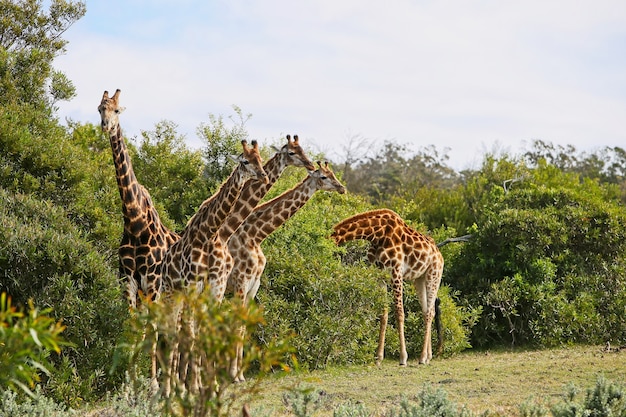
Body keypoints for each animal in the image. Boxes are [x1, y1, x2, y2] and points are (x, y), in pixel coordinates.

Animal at [97, 89, 179, 308]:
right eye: (100, 109)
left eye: (117, 110)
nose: (106, 125)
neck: (134, 223)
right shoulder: (128, 280)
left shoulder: (153, 281)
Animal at [225, 160, 346, 380]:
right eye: (323, 177)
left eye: (333, 174)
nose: (342, 188)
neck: (254, 235)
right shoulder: (240, 283)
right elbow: (237, 327)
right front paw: (233, 375)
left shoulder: (253, 286)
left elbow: (244, 327)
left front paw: (239, 374)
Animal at [330, 208, 442, 364]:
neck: (376, 234)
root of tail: (439, 254)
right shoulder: (380, 275)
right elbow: (383, 314)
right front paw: (378, 357)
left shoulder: (396, 272)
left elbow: (399, 312)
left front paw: (403, 358)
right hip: (419, 279)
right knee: (426, 311)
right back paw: (427, 356)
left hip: (434, 275)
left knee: (431, 312)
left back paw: (422, 357)